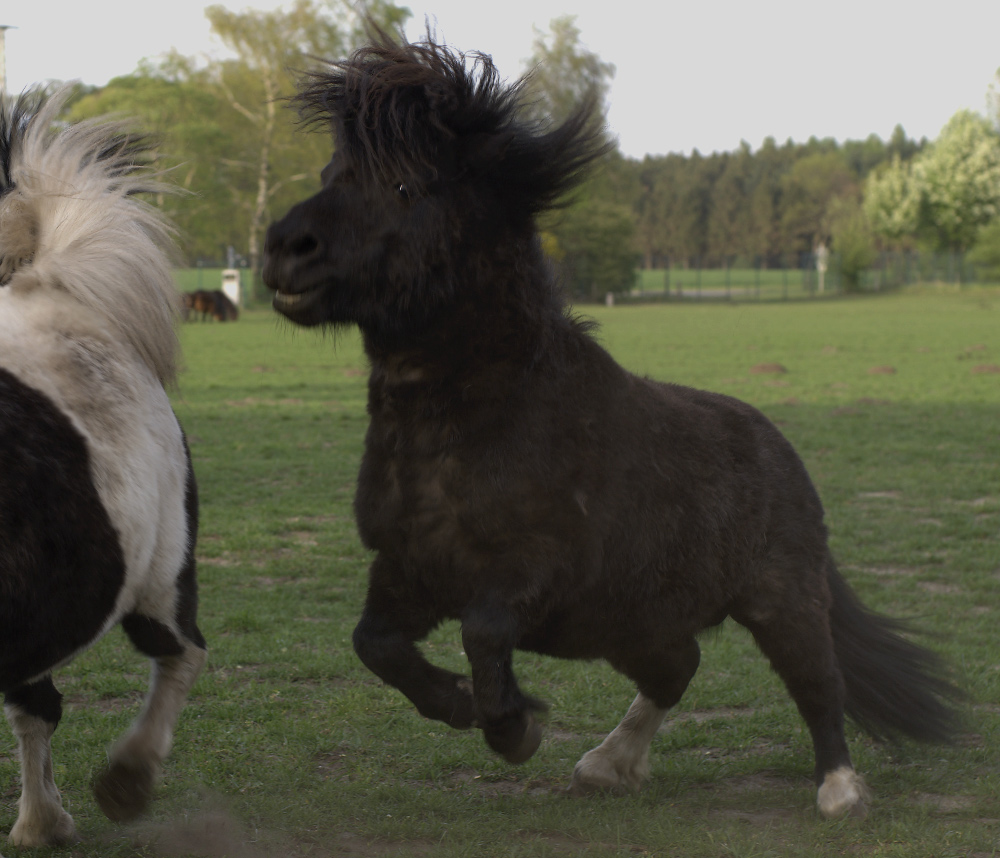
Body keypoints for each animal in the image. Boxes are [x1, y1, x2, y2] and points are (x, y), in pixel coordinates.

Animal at [262, 28, 964, 816]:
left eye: (405, 187)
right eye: (330, 173)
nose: (284, 248)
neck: (465, 430)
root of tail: (778, 445)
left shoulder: (539, 571)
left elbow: (482, 631)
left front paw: (513, 726)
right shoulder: (407, 567)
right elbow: (374, 645)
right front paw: (469, 708)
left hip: (780, 599)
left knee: (817, 682)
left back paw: (840, 790)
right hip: (637, 619)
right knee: (678, 667)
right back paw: (607, 763)